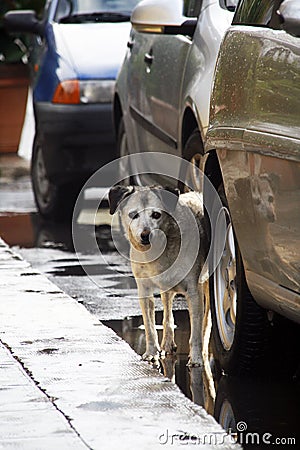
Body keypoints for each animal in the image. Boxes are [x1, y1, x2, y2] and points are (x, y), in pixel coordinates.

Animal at [108, 185, 209, 368]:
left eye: (156, 215)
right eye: (133, 215)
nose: (145, 235)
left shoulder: (194, 291)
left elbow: (196, 329)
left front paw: (196, 357)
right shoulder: (144, 291)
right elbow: (149, 327)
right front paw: (151, 353)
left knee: (207, 318)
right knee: (167, 313)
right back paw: (168, 343)